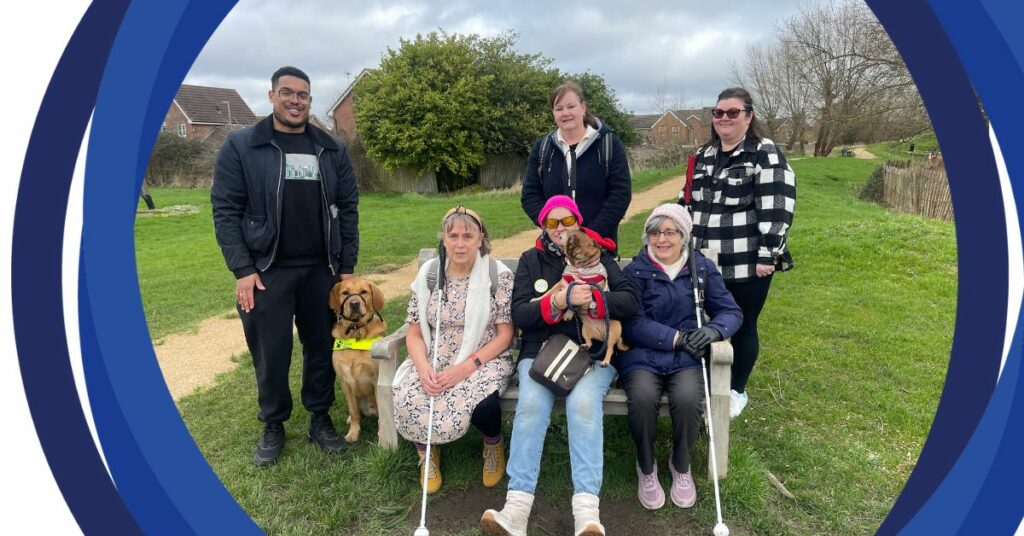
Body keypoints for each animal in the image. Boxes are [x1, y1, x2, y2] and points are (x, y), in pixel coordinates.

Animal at [329, 278, 385, 442]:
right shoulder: (345, 382)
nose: (354, 303)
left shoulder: (376, 379)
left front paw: (382, 435)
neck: (356, 330)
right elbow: (354, 413)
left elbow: (382, 417)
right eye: (345, 292)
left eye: (363, 292)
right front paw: (353, 432)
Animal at [565, 228, 626, 366]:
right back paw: (585, 346)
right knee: (590, 342)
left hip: (611, 334)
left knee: (610, 349)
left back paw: (605, 361)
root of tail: (601, 336)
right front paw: (569, 312)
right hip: (584, 331)